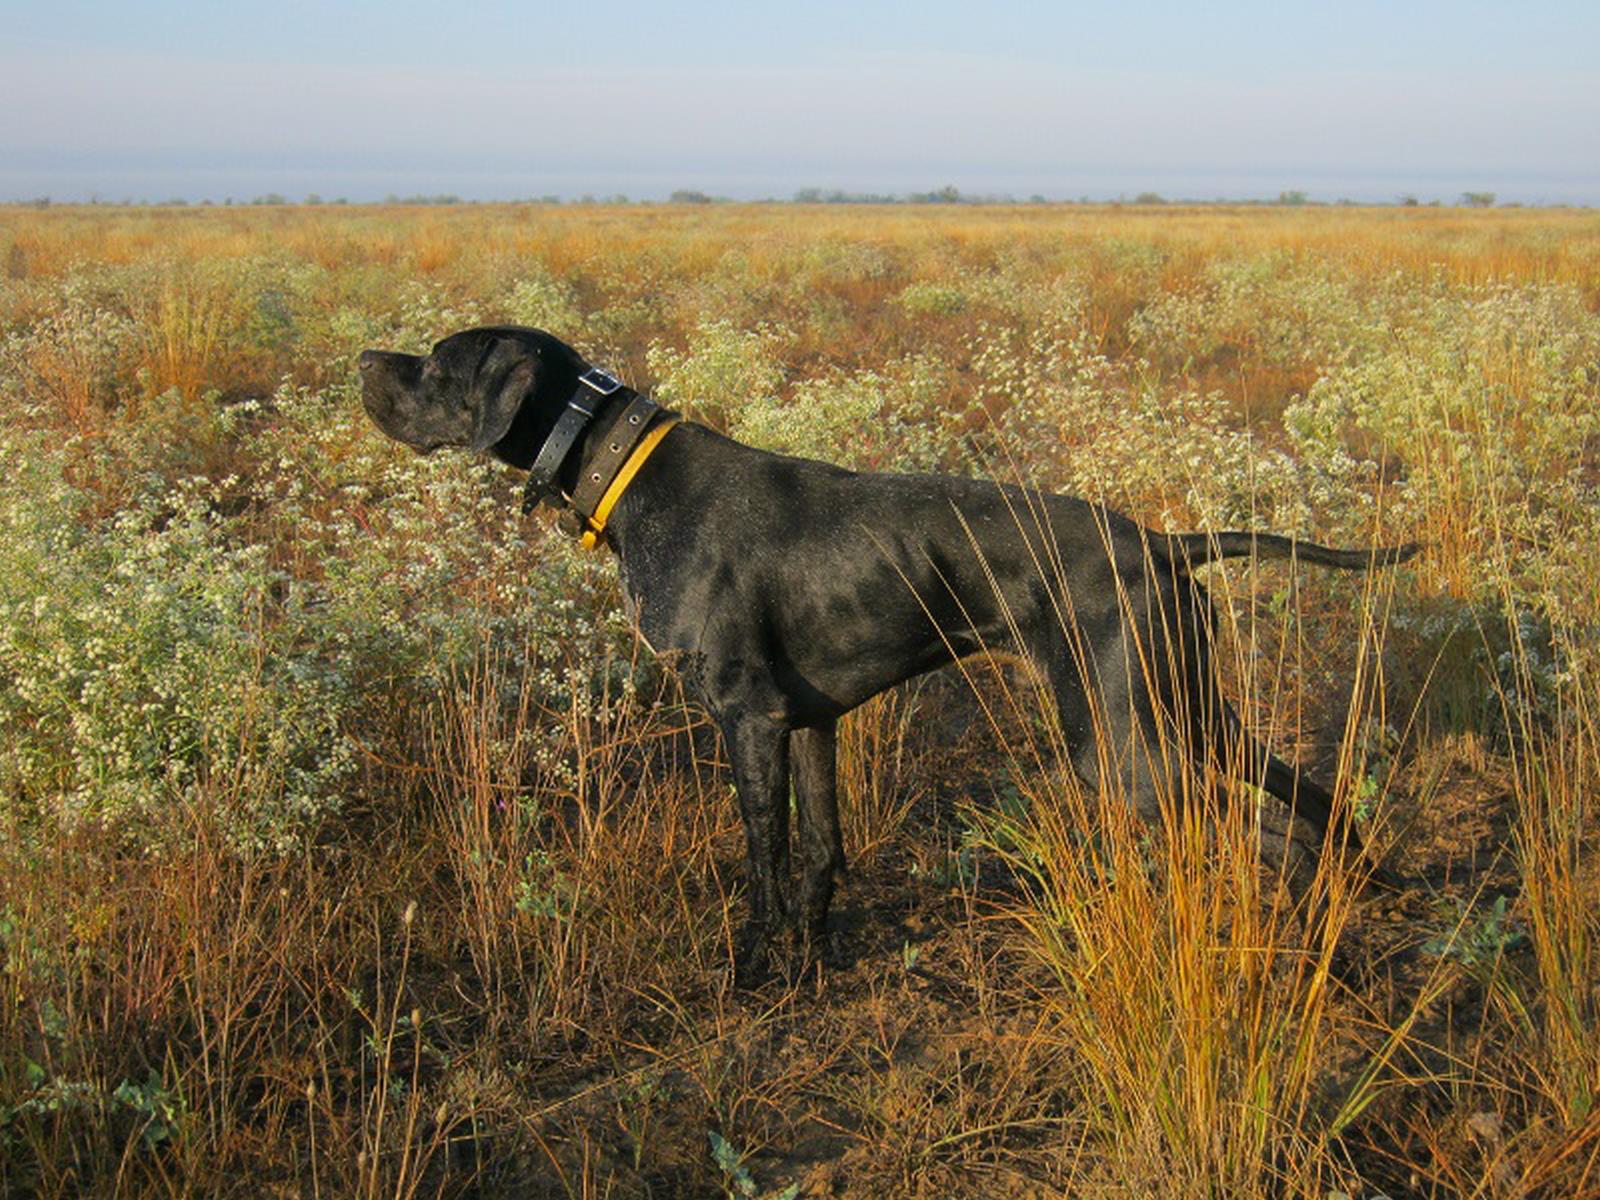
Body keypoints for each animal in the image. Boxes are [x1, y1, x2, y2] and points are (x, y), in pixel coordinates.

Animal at [360, 325, 1416, 980]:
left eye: (439, 364)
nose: (367, 358)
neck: (622, 467)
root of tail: (1162, 543)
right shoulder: (810, 721)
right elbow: (821, 850)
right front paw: (812, 962)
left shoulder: (747, 717)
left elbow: (764, 856)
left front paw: (753, 971)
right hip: (1181, 711)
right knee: (1313, 796)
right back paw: (1360, 886)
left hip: (1123, 745)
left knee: (1273, 837)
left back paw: (1307, 945)